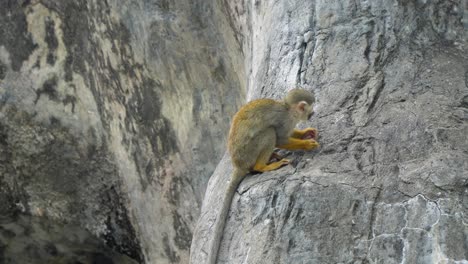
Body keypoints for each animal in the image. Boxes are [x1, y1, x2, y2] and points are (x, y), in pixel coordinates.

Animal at [207, 89, 318, 264]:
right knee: (269, 132)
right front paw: (306, 144)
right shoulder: (284, 120)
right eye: (310, 109)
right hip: (249, 152)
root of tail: (238, 164)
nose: (312, 114)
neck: (289, 110)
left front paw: (305, 133)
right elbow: (280, 138)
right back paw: (263, 166)